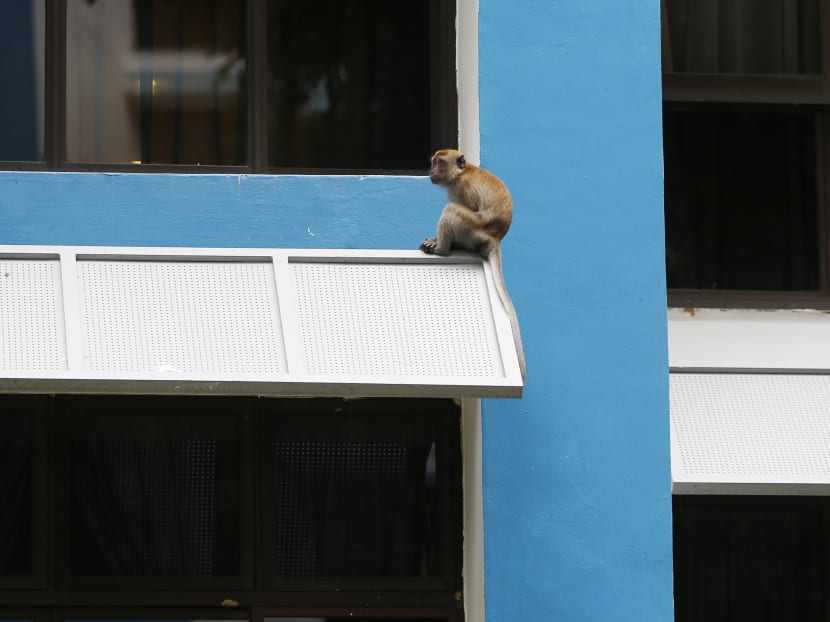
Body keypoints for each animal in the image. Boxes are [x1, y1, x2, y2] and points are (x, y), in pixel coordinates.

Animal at [420, 149, 526, 380]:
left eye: (439, 163)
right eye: (433, 162)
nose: (431, 171)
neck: (461, 173)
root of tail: (495, 238)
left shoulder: (463, 188)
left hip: (473, 230)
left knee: (452, 209)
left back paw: (442, 249)